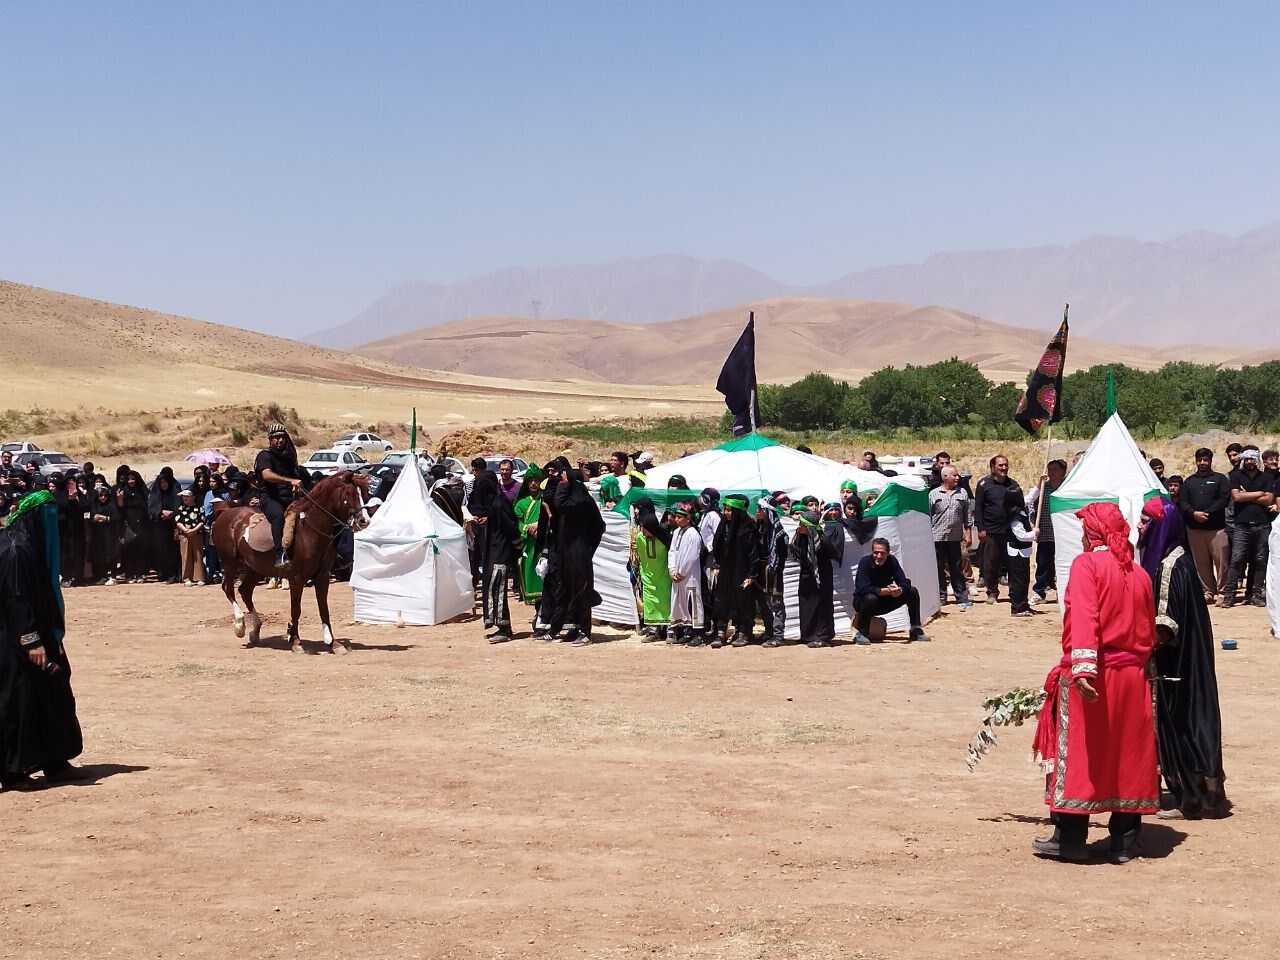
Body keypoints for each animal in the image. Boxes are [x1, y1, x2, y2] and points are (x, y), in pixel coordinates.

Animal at [211, 471, 368, 655]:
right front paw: (296, 642)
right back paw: (239, 625)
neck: (310, 530)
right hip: (230, 563)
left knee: (245, 591)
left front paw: (333, 643)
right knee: (228, 589)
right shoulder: (297, 579)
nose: (364, 521)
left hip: (254, 568)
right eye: (350, 494)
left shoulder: (322, 577)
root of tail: (225, 514)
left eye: (364, 493)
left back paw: (255, 630)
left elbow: (324, 609)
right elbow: (296, 609)